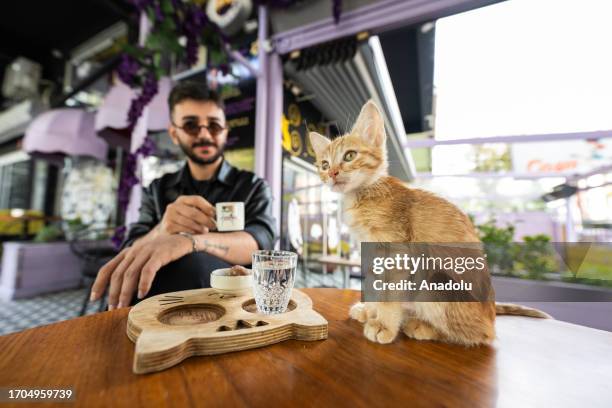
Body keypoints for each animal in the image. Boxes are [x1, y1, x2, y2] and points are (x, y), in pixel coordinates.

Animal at [308, 100, 548, 346]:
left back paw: (423, 326)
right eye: (324, 164)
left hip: (436, 278)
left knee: (481, 335)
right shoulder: (372, 254)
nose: (332, 173)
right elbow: (375, 284)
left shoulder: (396, 253)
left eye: (349, 156)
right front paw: (370, 311)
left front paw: (383, 324)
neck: (363, 195)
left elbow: (388, 293)